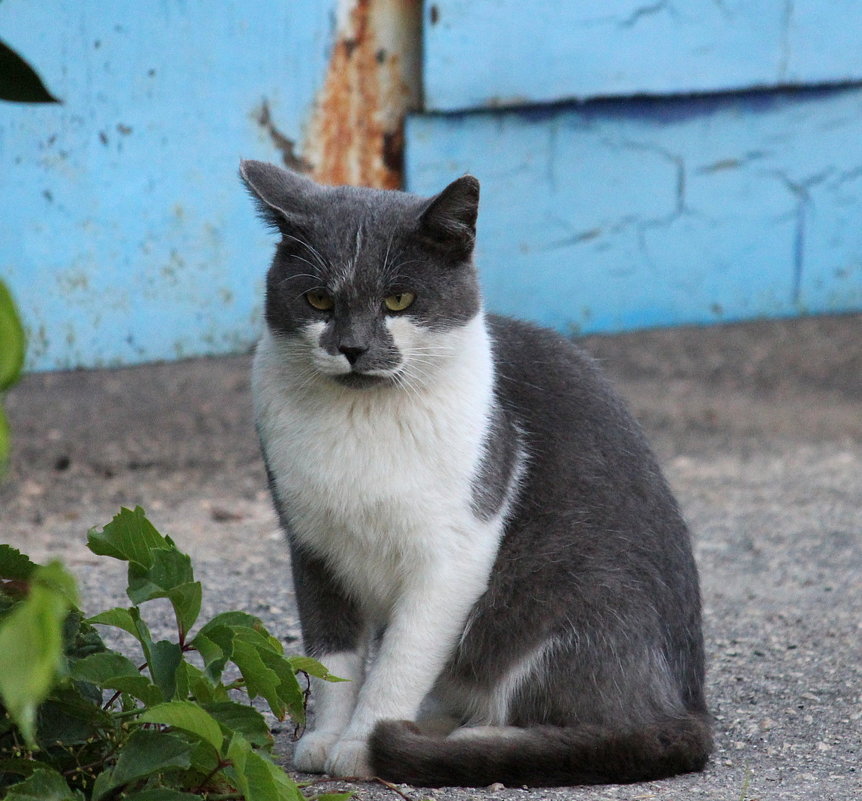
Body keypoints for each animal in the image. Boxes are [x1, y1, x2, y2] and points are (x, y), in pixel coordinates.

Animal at [240, 159, 712, 784]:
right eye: (317, 299)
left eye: (399, 299)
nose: (352, 347)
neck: (360, 418)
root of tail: (691, 702)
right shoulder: (312, 548)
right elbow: (331, 657)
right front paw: (324, 738)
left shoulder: (454, 550)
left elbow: (402, 658)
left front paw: (362, 745)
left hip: (569, 594)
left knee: (605, 725)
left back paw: (466, 737)